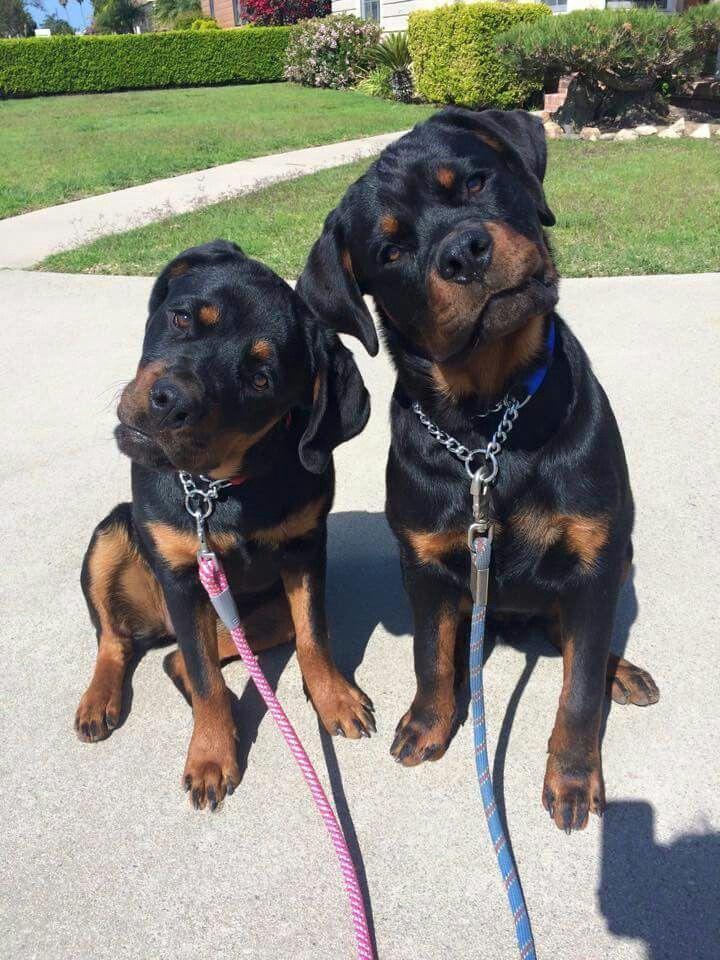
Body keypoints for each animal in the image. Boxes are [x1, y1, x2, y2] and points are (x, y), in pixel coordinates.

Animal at [75, 242, 374, 808]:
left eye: (260, 379)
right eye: (181, 317)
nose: (170, 402)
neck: (217, 489)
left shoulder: (305, 549)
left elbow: (313, 636)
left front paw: (334, 699)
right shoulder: (181, 575)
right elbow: (207, 677)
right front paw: (212, 757)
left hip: (258, 614)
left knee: (181, 659)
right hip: (111, 535)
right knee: (119, 639)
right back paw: (99, 700)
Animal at [298, 110, 660, 832]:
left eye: (473, 181)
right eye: (389, 252)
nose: (464, 252)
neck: (489, 426)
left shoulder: (595, 558)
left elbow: (579, 688)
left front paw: (571, 777)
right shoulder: (425, 563)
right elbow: (431, 655)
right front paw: (429, 724)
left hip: (620, 556)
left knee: (583, 641)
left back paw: (621, 670)